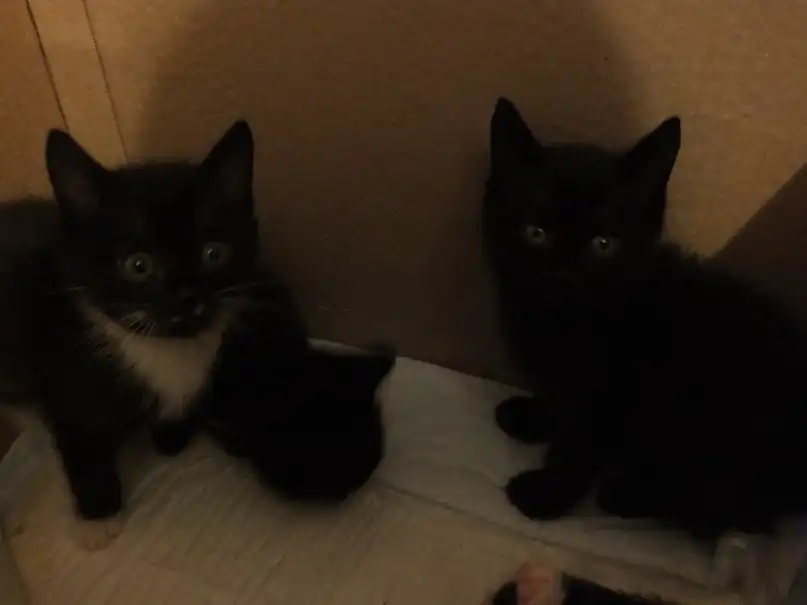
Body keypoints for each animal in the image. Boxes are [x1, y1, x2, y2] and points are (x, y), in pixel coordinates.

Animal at [0, 120, 309, 549]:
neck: (160, 347)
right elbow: (83, 443)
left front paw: (170, 437)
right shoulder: (64, 379)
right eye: (138, 265)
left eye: (214, 253)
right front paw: (98, 519)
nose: (187, 299)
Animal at [483, 97, 807, 538]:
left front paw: (547, 492)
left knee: (735, 510)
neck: (568, 323)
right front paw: (534, 417)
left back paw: (628, 492)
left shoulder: (617, 393)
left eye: (603, 244)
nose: (563, 273)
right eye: (535, 233)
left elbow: (582, 445)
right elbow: (563, 402)